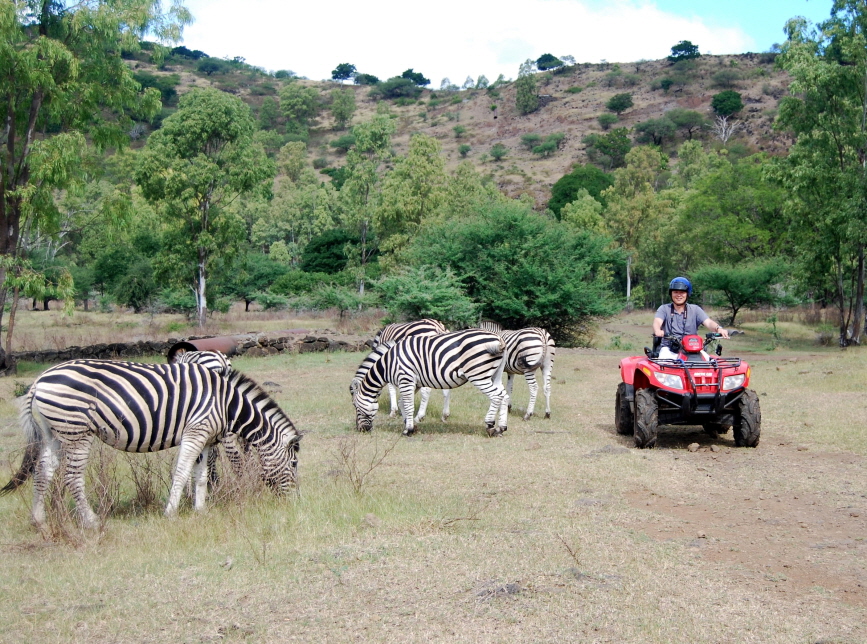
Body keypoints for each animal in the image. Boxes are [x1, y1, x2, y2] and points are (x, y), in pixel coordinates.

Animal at [0, 360, 302, 532]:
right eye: (294, 463)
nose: (295, 501)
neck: (228, 403)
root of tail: (39, 380)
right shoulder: (196, 431)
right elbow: (181, 472)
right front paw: (170, 513)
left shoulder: (205, 438)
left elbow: (200, 475)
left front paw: (200, 510)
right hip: (77, 430)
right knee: (72, 477)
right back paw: (92, 522)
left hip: (54, 432)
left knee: (43, 471)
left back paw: (39, 520)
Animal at [350, 332, 508, 438]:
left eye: (356, 407)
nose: (360, 430)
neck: (388, 363)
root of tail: (498, 338)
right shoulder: (415, 383)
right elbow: (403, 403)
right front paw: (410, 425)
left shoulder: (405, 379)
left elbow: (408, 405)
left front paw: (408, 430)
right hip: (494, 374)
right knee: (504, 395)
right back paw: (501, 427)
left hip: (478, 375)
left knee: (496, 396)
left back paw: (490, 426)